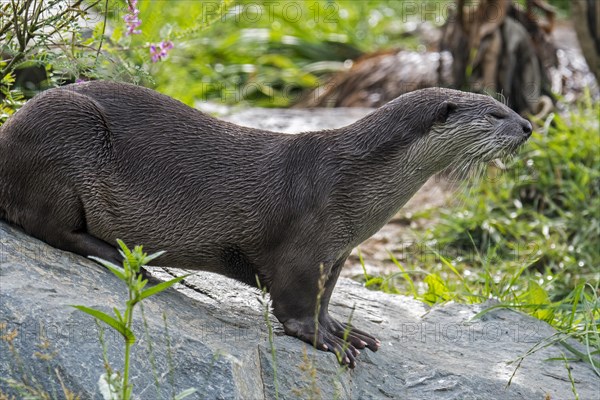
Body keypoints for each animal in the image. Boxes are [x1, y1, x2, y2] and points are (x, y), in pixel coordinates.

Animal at [0, 82, 532, 368]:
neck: (353, 183)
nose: (528, 125)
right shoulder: (305, 243)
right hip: (63, 141)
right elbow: (293, 307)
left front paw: (345, 330)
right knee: (47, 225)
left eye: (508, 105)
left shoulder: (336, 254)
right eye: (495, 113)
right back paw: (127, 260)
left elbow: (324, 298)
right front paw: (326, 341)